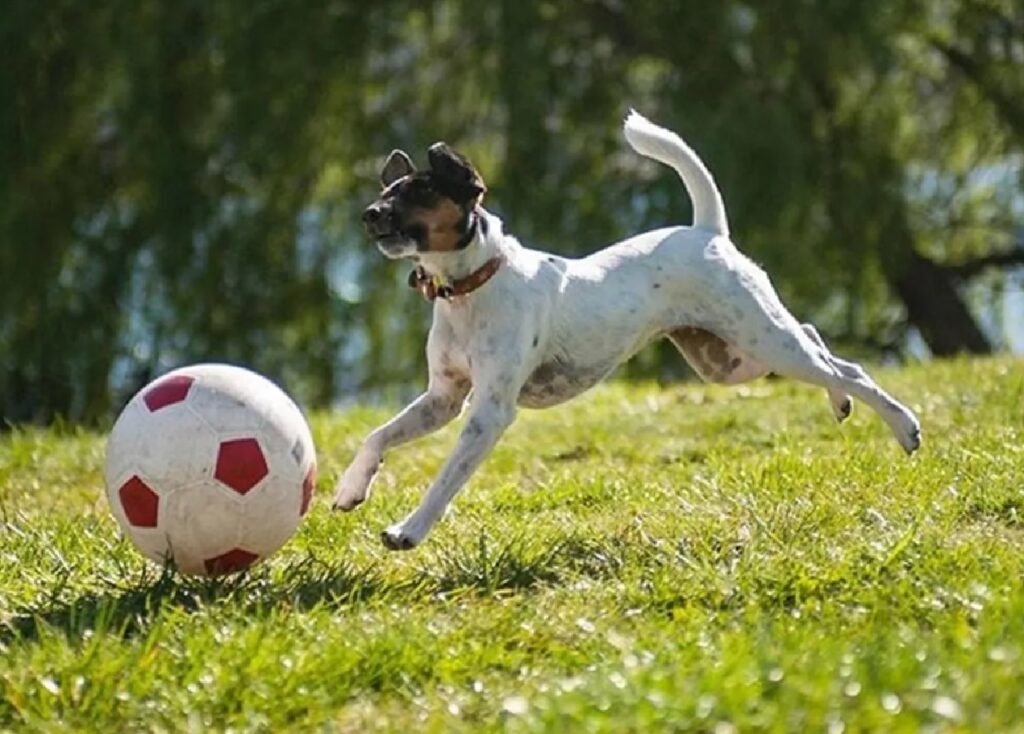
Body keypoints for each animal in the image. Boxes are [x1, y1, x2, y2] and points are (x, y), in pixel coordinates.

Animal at [331, 111, 925, 548]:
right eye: (389, 190)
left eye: (418, 193)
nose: (368, 213)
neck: (473, 285)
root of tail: (707, 231)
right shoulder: (444, 399)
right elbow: (377, 435)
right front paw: (349, 489)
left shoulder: (488, 413)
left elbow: (446, 479)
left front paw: (409, 529)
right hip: (732, 359)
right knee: (823, 347)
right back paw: (842, 404)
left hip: (762, 342)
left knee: (849, 368)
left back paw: (904, 427)